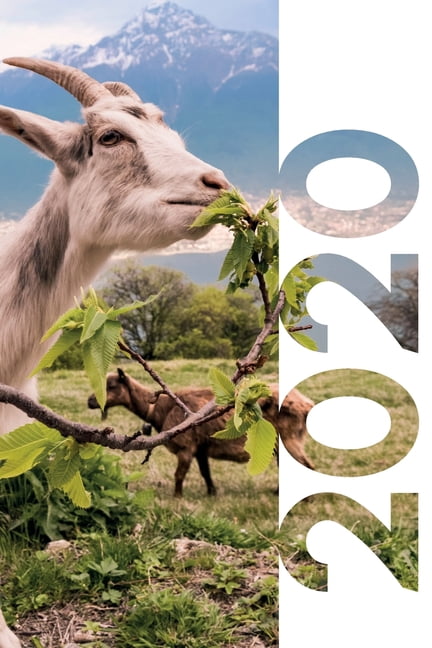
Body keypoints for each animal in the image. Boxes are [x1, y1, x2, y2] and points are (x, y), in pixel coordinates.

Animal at [87, 368, 315, 496]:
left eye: (111, 385)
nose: (90, 401)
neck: (162, 408)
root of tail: (306, 404)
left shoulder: (186, 446)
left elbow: (179, 474)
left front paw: (177, 497)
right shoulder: (200, 448)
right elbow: (206, 473)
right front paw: (212, 493)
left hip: (289, 438)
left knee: (307, 465)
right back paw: (278, 492)